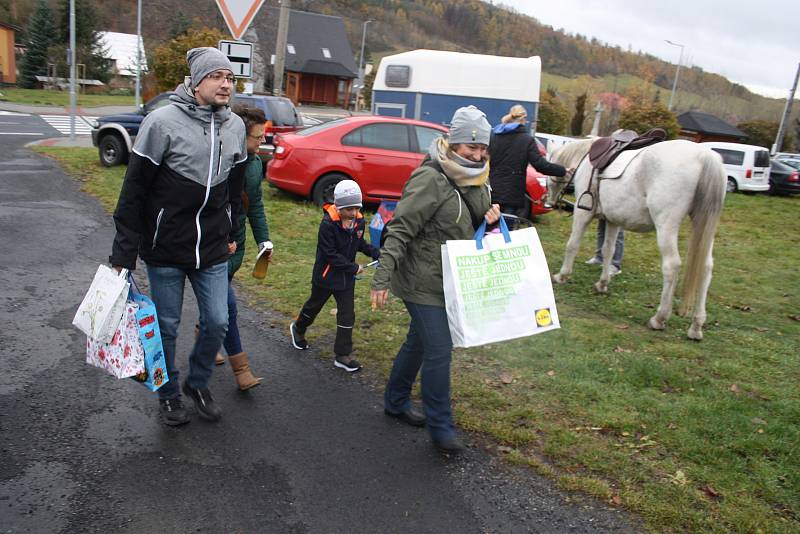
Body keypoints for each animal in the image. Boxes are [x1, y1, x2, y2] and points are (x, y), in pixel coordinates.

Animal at [552, 137, 724, 340]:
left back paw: (659, 318)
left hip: (666, 225)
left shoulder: (583, 213)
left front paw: (562, 275)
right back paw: (696, 326)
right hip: (703, 225)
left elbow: (572, 244)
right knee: (706, 267)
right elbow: (608, 250)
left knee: (672, 265)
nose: (549, 201)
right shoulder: (612, 220)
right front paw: (602, 284)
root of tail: (704, 156)